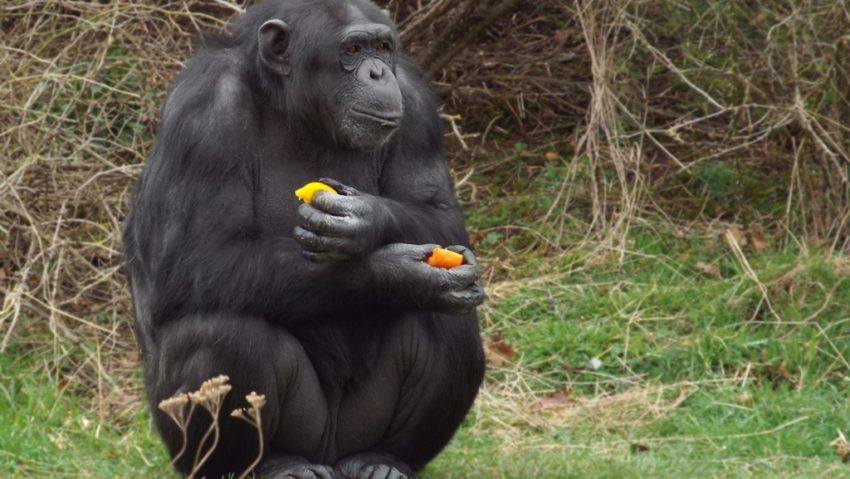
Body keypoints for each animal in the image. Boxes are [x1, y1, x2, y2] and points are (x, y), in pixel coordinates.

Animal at [123, 0, 486, 479]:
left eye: (382, 47)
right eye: (352, 49)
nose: (377, 73)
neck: (297, 110)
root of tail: (329, 454)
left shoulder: (417, 104)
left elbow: (440, 215)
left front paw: (367, 221)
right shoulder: (203, 113)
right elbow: (194, 260)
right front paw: (397, 272)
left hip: (357, 427)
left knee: (445, 319)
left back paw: (383, 460)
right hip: (269, 435)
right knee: (221, 334)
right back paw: (273, 463)